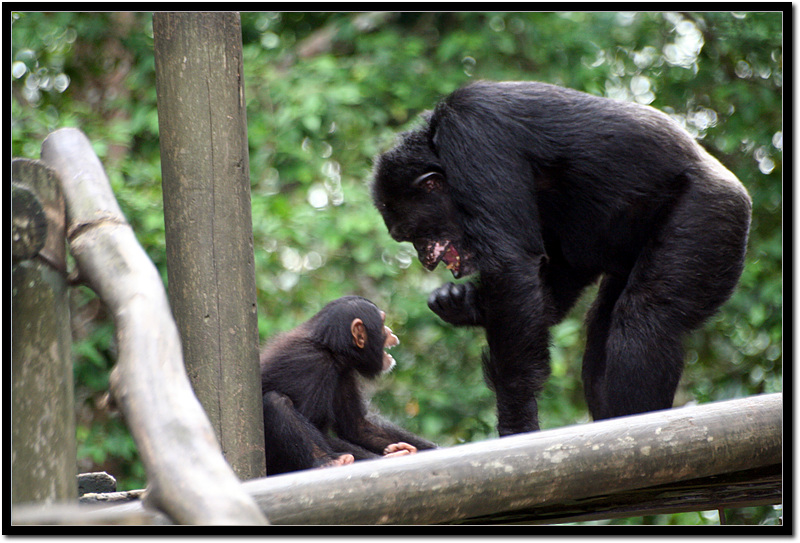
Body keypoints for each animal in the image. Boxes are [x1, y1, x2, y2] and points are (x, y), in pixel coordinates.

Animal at [260, 294, 438, 476]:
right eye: (382, 324)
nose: (390, 331)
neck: (331, 349)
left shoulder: (344, 373)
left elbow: (357, 426)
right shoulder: (312, 365)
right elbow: (319, 428)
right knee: (276, 401)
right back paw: (329, 462)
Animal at [372, 81, 752, 438]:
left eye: (415, 233)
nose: (425, 257)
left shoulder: (474, 136)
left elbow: (512, 266)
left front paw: (517, 422)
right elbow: (554, 278)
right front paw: (460, 301)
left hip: (709, 218)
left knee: (647, 316)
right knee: (601, 324)